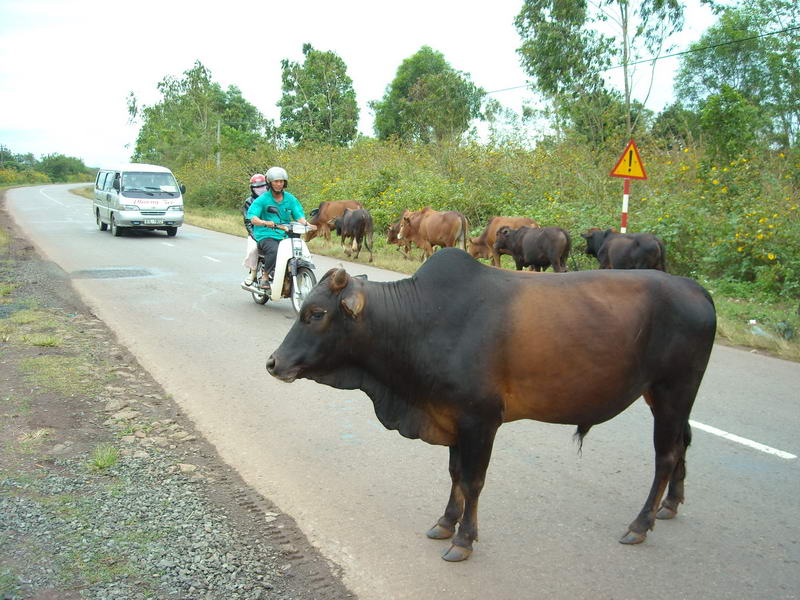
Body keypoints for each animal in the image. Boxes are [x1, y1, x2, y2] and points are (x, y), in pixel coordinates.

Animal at [266, 248, 716, 564]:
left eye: (316, 313)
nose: (273, 362)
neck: (420, 321)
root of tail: (696, 290)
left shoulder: (480, 421)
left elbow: (473, 481)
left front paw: (464, 540)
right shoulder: (449, 416)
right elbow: (454, 474)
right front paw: (445, 523)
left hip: (675, 390)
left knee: (666, 455)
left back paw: (641, 524)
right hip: (665, 397)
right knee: (682, 444)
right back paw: (670, 506)